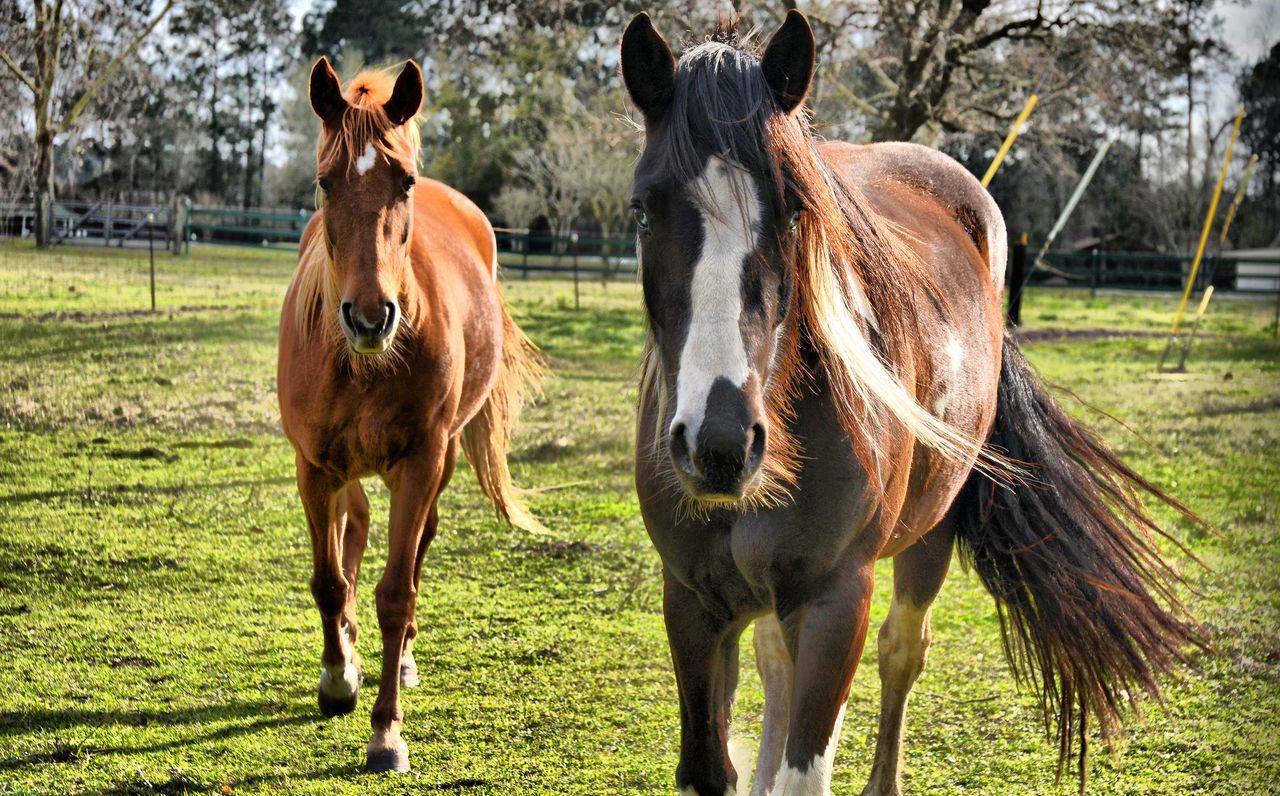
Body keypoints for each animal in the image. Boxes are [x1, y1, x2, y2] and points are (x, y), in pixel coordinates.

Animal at [277, 59, 542, 778]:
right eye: (325, 181)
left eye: (405, 182)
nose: (370, 318)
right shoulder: (314, 466)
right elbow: (327, 580)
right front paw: (337, 677)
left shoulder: (420, 461)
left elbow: (396, 592)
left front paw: (386, 732)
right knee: (354, 528)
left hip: (439, 460)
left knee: (418, 546)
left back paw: (402, 660)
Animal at [619, 12, 1198, 796]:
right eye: (642, 211)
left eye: (795, 208)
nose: (719, 444)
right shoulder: (690, 603)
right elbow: (714, 761)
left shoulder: (836, 601)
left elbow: (812, 759)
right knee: (778, 661)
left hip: (931, 533)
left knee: (902, 648)